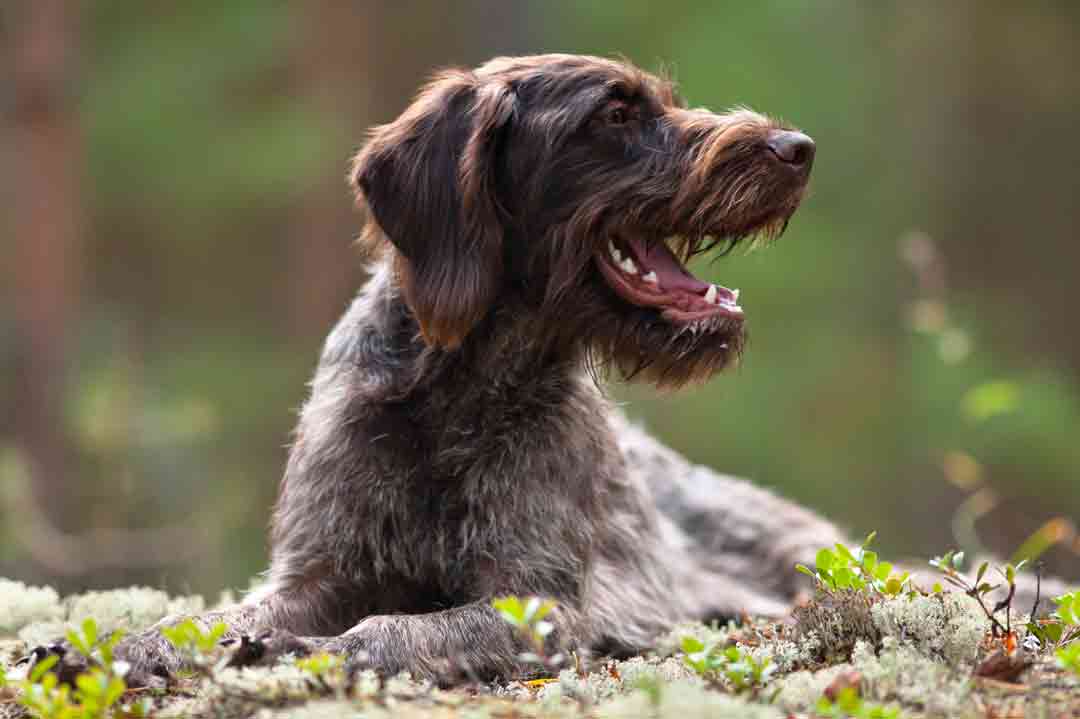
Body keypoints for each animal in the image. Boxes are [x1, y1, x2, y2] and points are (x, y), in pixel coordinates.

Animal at [29, 53, 846, 682]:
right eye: (615, 114)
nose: (798, 147)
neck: (455, 395)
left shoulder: (538, 604)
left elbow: (387, 629)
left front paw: (303, 649)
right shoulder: (316, 570)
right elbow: (208, 617)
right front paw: (121, 645)